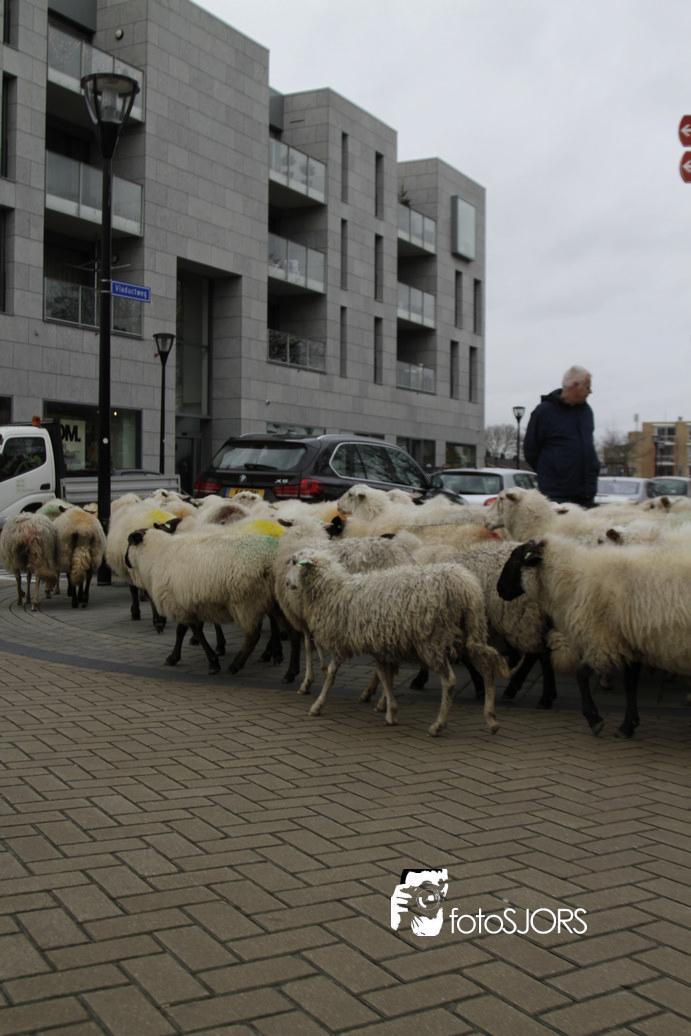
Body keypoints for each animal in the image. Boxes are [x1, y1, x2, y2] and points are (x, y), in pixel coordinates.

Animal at [124, 526, 281, 675]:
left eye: (129, 541)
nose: (126, 561)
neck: (156, 555)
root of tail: (272, 558)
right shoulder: (183, 604)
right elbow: (181, 631)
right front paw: (173, 657)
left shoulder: (178, 605)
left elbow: (197, 633)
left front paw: (213, 663)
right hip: (268, 598)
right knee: (275, 624)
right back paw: (273, 654)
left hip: (246, 602)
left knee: (253, 636)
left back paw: (235, 665)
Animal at [286, 546, 508, 736]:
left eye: (295, 561)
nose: (287, 584)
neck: (331, 590)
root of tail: (467, 588)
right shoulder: (381, 646)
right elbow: (385, 677)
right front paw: (391, 712)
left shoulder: (341, 643)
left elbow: (331, 675)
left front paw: (317, 705)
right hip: (471, 630)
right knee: (487, 668)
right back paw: (491, 719)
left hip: (433, 640)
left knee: (450, 681)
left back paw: (438, 725)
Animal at [496, 534, 691, 738]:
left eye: (516, 560)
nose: (499, 589)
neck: (575, 580)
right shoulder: (629, 643)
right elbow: (630, 685)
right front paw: (628, 725)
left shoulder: (604, 642)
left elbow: (581, 675)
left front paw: (595, 720)